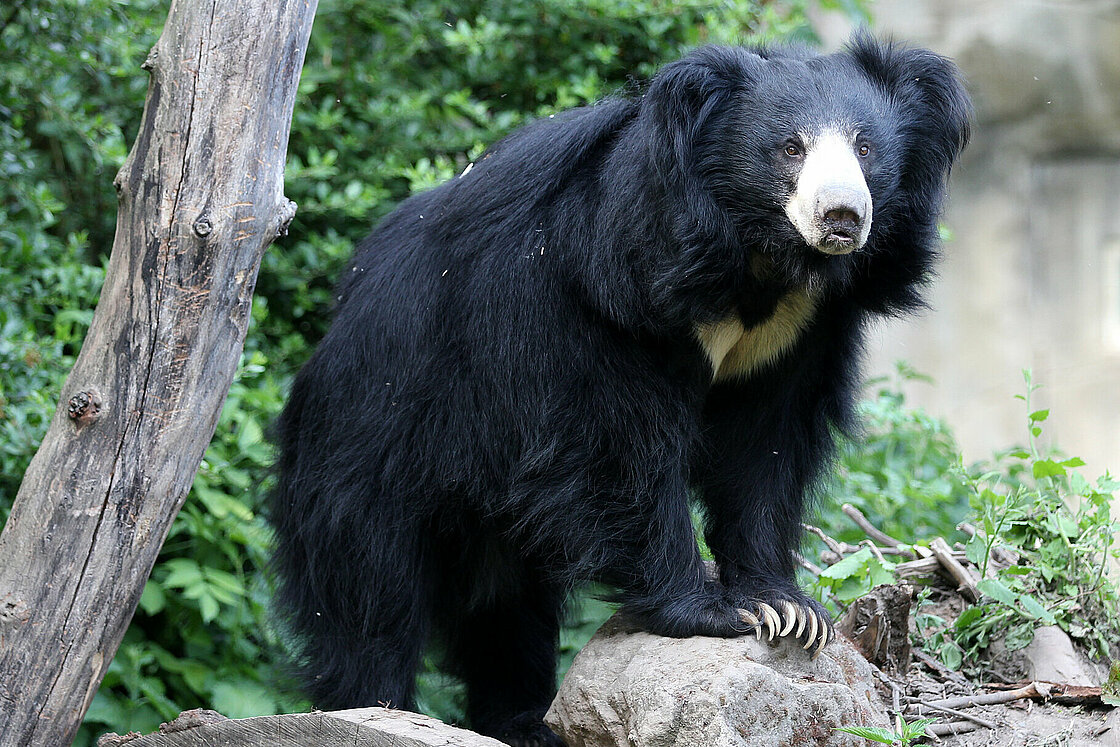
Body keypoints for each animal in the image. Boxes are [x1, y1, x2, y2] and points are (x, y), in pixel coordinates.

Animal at [266, 33, 967, 747]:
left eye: (866, 148)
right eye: (789, 149)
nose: (842, 216)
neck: (755, 261)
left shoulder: (799, 333)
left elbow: (762, 451)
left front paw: (786, 609)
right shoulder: (602, 298)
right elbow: (617, 450)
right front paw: (713, 611)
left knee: (506, 606)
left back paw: (524, 721)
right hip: (371, 436)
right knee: (370, 589)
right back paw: (373, 706)